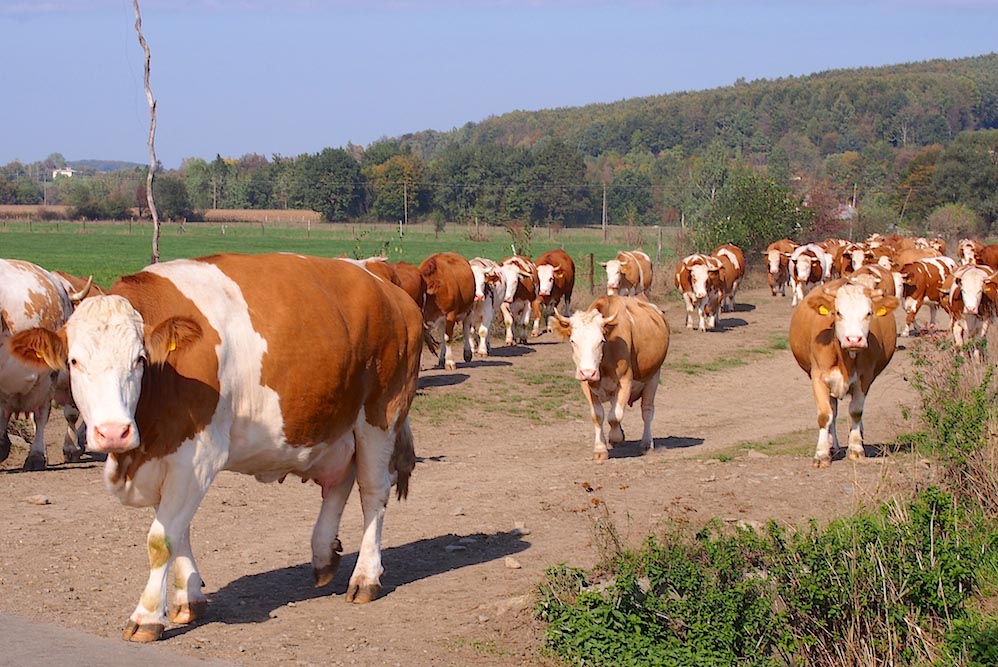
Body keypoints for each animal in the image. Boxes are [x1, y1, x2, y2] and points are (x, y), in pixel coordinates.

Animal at [556, 296, 672, 460]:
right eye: (573, 341)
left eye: (601, 341)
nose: (588, 372)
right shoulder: (586, 384)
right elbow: (598, 415)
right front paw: (600, 449)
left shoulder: (625, 381)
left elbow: (615, 416)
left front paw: (616, 437)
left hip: (653, 376)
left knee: (647, 411)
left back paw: (646, 443)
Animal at [792, 280, 904, 468]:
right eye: (838, 312)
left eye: (868, 313)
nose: (854, 339)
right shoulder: (818, 377)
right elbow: (825, 415)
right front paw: (821, 454)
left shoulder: (865, 378)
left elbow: (856, 411)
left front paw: (856, 448)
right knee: (833, 410)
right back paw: (833, 445)